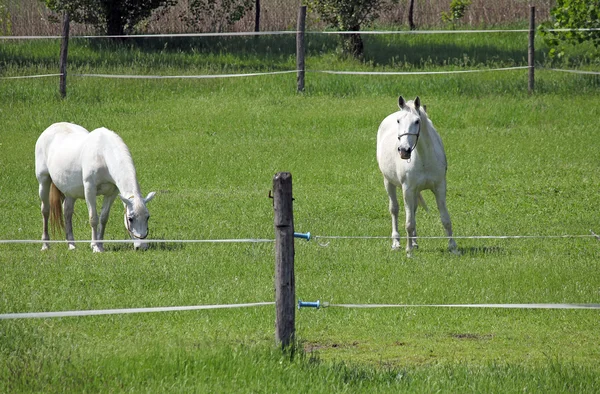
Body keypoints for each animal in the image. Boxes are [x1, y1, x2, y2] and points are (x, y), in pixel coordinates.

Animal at [33, 122, 156, 252]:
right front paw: (95, 247)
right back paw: (45, 245)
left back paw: (71, 244)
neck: (103, 154)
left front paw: (100, 245)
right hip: (44, 181)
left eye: (147, 217)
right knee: (45, 210)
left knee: (67, 212)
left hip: (70, 191)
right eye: (130, 219)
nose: (142, 247)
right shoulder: (90, 189)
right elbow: (93, 218)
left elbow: (103, 218)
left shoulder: (111, 193)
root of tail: (51, 128)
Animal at [378, 96, 458, 255]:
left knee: (413, 210)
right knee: (394, 209)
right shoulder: (408, 190)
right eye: (398, 121)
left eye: (417, 121)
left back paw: (414, 242)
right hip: (388, 182)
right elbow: (409, 223)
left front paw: (453, 247)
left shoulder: (439, 187)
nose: (404, 150)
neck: (424, 158)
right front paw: (409, 251)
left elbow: (445, 219)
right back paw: (397, 243)